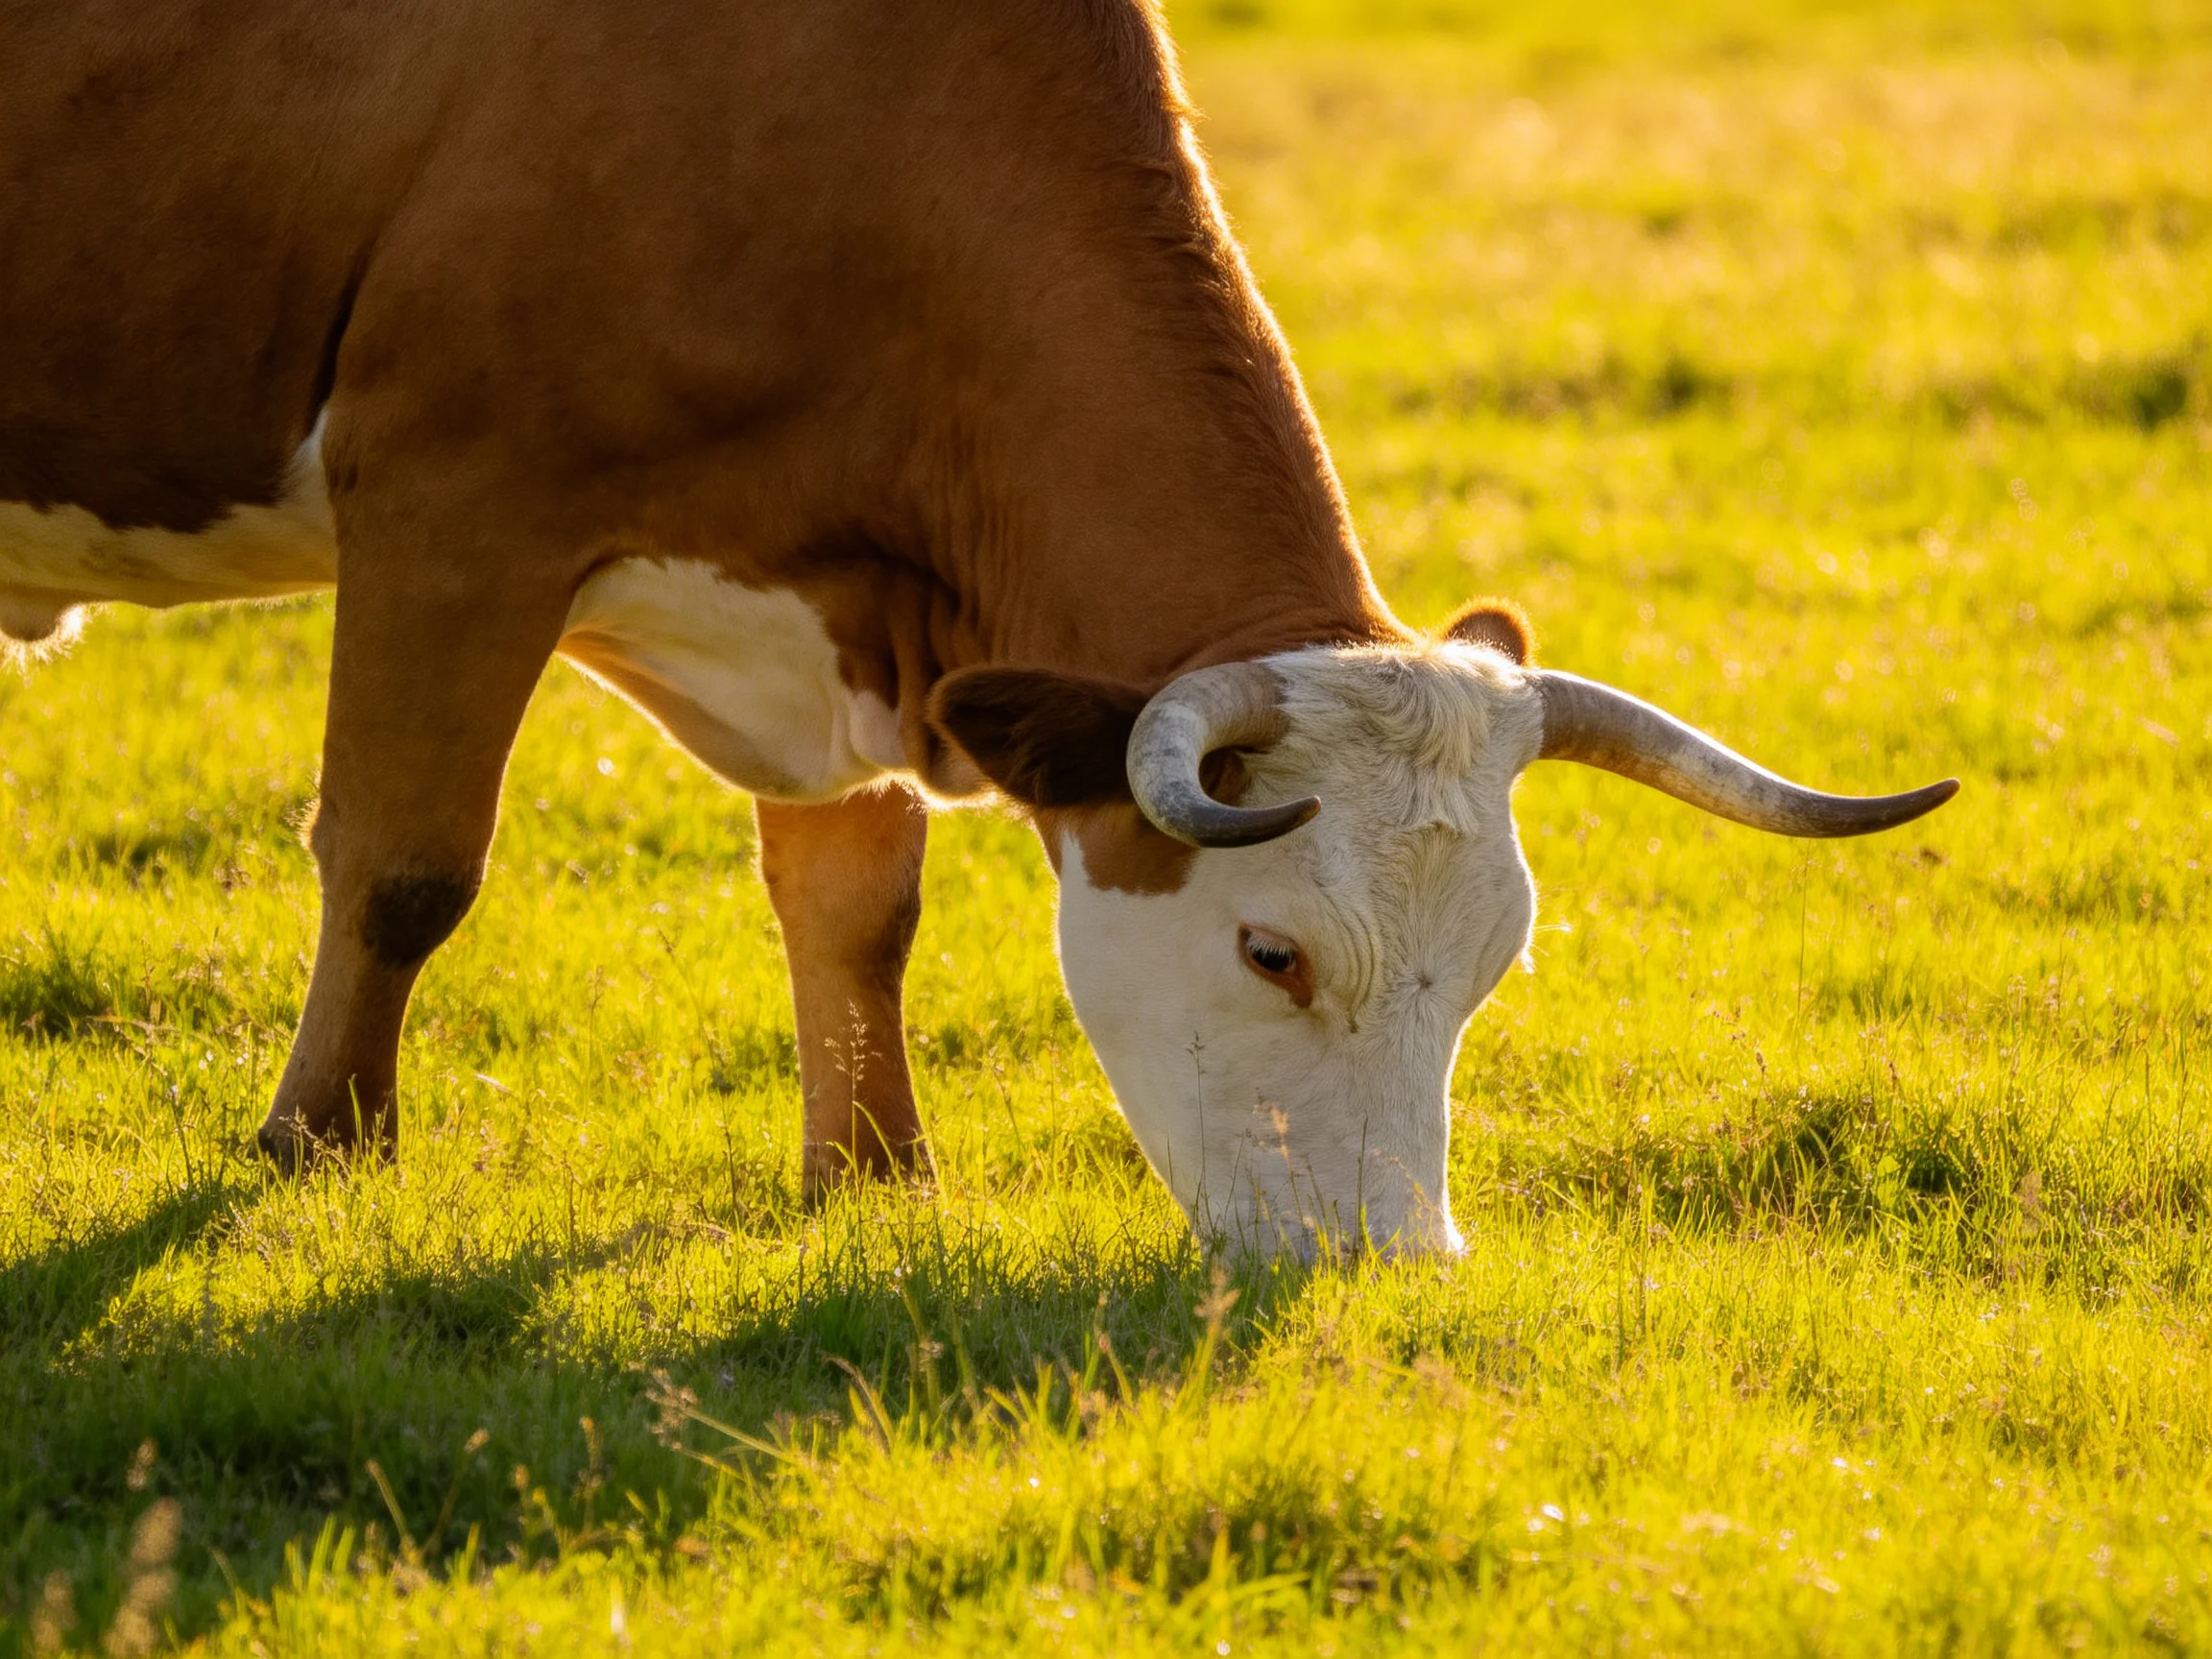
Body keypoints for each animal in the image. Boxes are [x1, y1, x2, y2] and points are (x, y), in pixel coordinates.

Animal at [0, 0, 1954, 1257]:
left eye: (1489, 964)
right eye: (1270, 952)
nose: (1397, 1264)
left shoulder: (833, 615)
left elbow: (855, 908)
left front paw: (872, 1176)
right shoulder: (453, 500)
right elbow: (405, 866)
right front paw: (319, 1150)